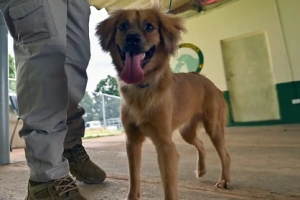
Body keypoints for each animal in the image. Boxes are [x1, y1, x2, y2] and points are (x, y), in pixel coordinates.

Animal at [95, 6, 230, 200]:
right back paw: (201, 169)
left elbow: (169, 186)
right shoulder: (132, 142)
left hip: (214, 128)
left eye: (149, 27)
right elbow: (133, 177)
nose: (132, 39)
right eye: (122, 26)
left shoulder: (165, 145)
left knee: (225, 155)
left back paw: (224, 180)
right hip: (187, 132)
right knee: (201, 144)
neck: (142, 88)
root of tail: (210, 82)